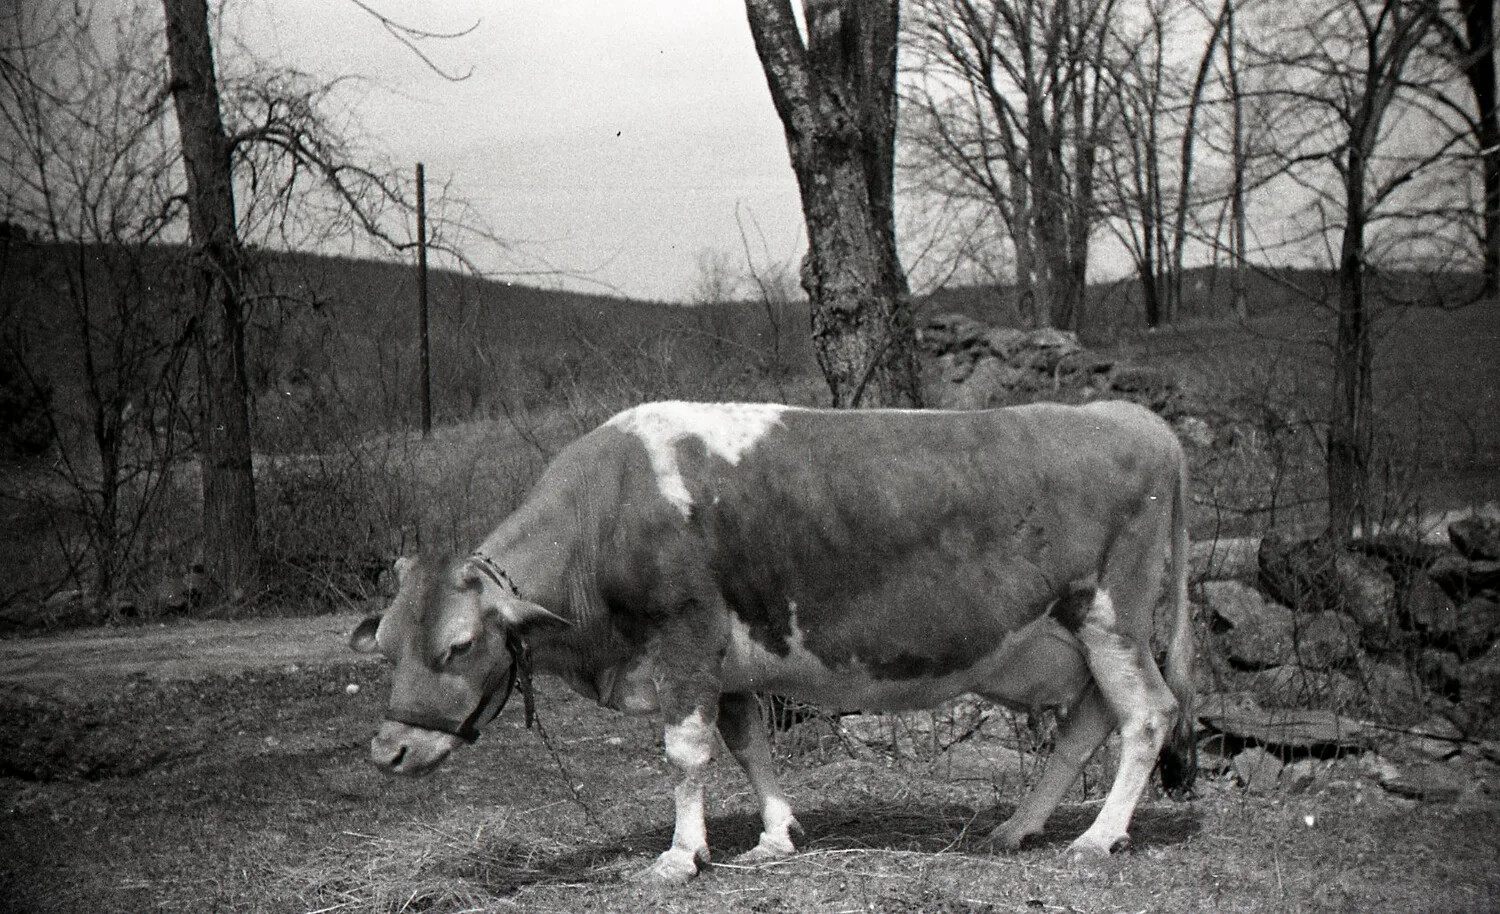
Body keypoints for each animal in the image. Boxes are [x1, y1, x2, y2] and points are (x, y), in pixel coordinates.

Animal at [350, 399, 1195, 883]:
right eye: (386, 644)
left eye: (459, 645)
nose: (389, 750)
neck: (609, 511)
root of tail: (1131, 414)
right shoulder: (724, 667)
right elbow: (750, 743)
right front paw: (776, 837)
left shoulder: (686, 642)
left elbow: (685, 754)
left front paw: (679, 857)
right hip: (1073, 633)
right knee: (1089, 721)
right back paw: (1022, 827)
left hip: (1111, 614)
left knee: (1146, 712)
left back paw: (1098, 838)